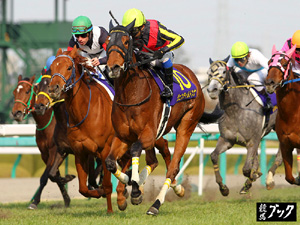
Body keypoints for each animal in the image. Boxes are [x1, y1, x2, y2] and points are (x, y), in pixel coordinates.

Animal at [11, 75, 74, 209]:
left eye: (27, 91)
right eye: (14, 92)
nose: (16, 113)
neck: (47, 123)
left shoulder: (55, 151)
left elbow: (45, 176)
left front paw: (34, 202)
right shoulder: (45, 153)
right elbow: (54, 175)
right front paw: (67, 199)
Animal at [104, 23, 205, 216]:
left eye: (126, 41)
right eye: (107, 42)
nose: (113, 68)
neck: (131, 95)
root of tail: (192, 75)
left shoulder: (147, 135)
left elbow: (135, 150)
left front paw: (135, 188)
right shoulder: (123, 137)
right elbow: (110, 162)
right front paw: (131, 182)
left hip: (186, 125)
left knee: (172, 167)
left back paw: (156, 204)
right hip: (159, 134)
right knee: (160, 156)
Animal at [206, 56, 282, 195]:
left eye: (223, 72)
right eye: (209, 73)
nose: (212, 90)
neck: (235, 109)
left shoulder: (252, 141)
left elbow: (247, 169)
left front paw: (253, 177)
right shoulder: (227, 140)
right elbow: (213, 156)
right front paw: (223, 188)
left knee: (280, 156)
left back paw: (270, 180)